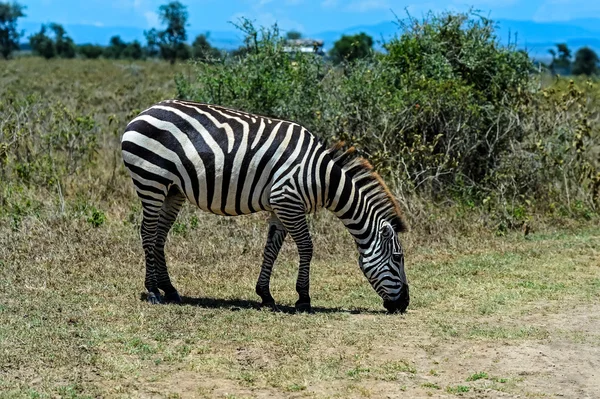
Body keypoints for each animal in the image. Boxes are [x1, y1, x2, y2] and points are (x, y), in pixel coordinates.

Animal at [122, 98, 412, 314]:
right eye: (398, 258)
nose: (404, 305)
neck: (322, 177)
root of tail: (145, 111)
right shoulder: (288, 201)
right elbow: (306, 247)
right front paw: (303, 298)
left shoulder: (279, 207)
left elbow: (270, 250)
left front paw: (265, 295)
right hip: (151, 180)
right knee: (147, 233)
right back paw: (153, 291)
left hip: (173, 189)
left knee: (159, 236)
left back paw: (169, 289)